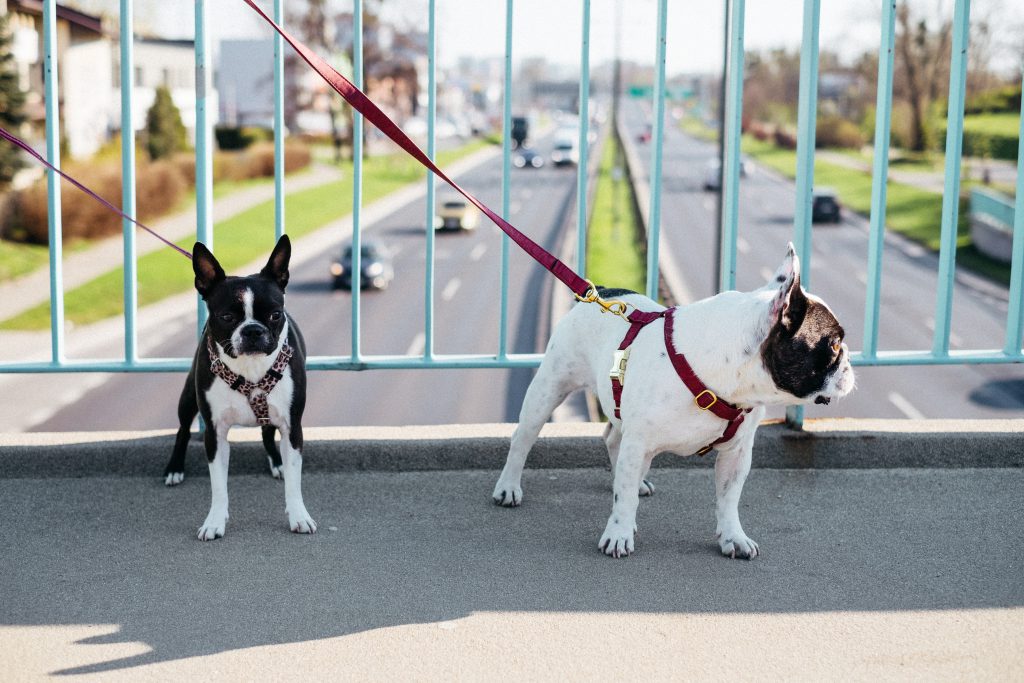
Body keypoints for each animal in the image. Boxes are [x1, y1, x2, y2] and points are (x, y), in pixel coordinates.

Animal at [162, 237, 315, 540]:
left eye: (275, 314)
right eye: (226, 317)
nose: (253, 330)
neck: (250, 369)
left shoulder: (293, 427)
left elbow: (294, 481)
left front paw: (299, 516)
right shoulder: (215, 433)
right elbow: (219, 486)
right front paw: (214, 522)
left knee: (267, 434)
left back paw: (277, 463)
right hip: (188, 399)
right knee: (182, 431)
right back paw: (174, 468)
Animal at [495, 245, 856, 561]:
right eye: (834, 344)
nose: (849, 362)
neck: (725, 377)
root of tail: (604, 291)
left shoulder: (737, 452)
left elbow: (729, 498)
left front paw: (733, 537)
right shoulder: (639, 441)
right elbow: (623, 498)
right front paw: (619, 533)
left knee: (613, 440)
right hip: (549, 387)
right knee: (523, 439)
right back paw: (508, 487)